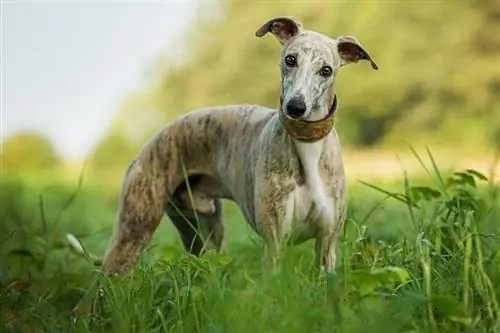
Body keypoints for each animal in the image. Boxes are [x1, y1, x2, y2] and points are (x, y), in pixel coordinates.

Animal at [70, 16, 376, 288]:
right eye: (291, 59)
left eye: (326, 70)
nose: (295, 107)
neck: (306, 145)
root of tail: (151, 142)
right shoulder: (275, 242)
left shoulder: (327, 244)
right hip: (135, 228)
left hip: (204, 233)